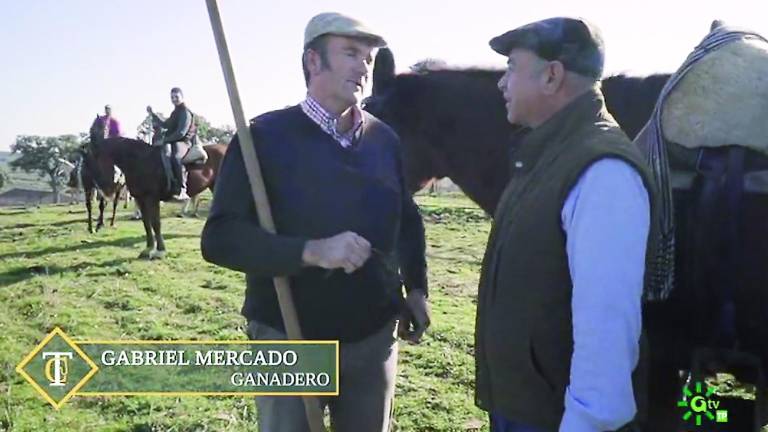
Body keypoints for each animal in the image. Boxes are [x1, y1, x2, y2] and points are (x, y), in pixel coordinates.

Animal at [86, 115, 226, 258]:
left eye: (94, 158)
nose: (101, 188)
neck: (140, 160)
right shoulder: (140, 198)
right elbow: (146, 223)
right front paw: (148, 248)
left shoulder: (151, 198)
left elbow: (155, 223)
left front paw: (160, 250)